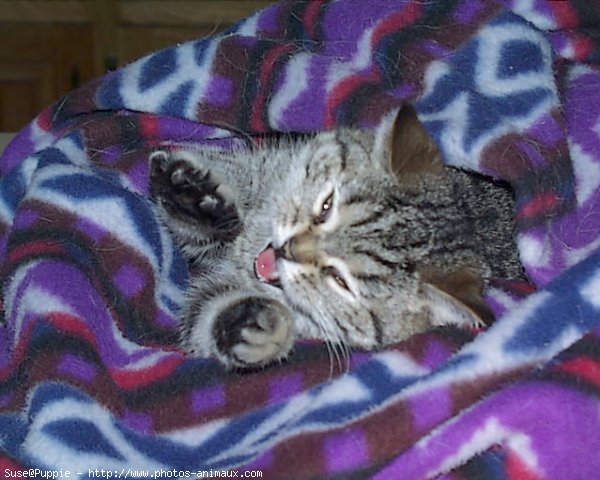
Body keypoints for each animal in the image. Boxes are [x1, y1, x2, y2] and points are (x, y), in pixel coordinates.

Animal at [148, 106, 524, 368]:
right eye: (326, 205)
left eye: (340, 281)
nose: (286, 249)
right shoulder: (270, 170)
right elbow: (244, 179)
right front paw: (190, 192)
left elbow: (205, 314)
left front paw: (255, 326)